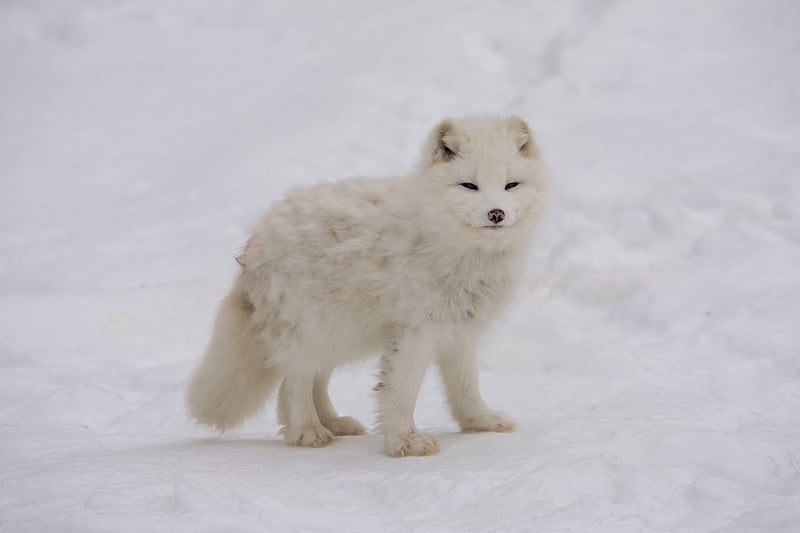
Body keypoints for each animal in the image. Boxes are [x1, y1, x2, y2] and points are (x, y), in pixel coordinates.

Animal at [188, 117, 552, 458]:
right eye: (469, 185)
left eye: (510, 185)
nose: (496, 213)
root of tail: (258, 234)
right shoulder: (415, 332)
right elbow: (401, 391)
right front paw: (404, 442)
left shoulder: (462, 331)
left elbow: (465, 387)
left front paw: (479, 422)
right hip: (310, 330)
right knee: (294, 382)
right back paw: (307, 431)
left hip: (339, 334)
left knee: (312, 381)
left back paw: (334, 424)